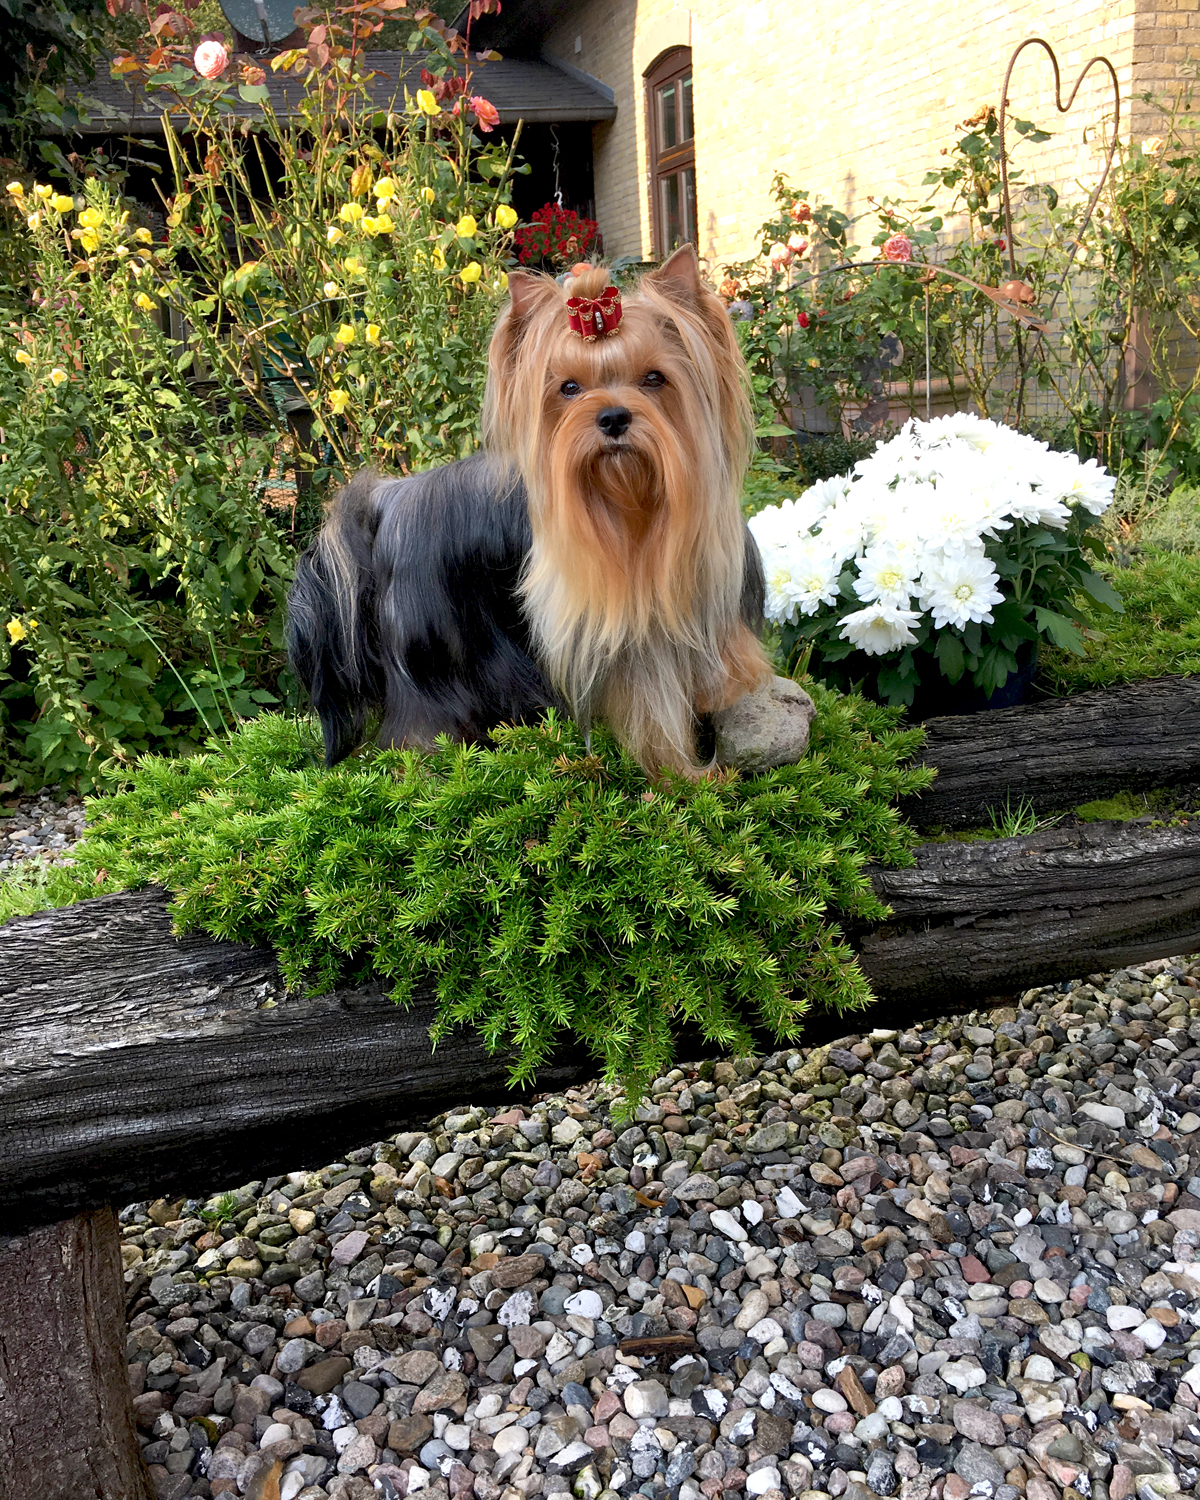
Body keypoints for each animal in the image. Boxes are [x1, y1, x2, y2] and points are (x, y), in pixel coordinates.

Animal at [287, 245, 771, 777]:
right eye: (569, 388)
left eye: (654, 378)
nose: (613, 417)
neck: (634, 510)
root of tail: (389, 500)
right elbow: (652, 712)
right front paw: (684, 774)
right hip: (431, 643)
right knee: (420, 718)